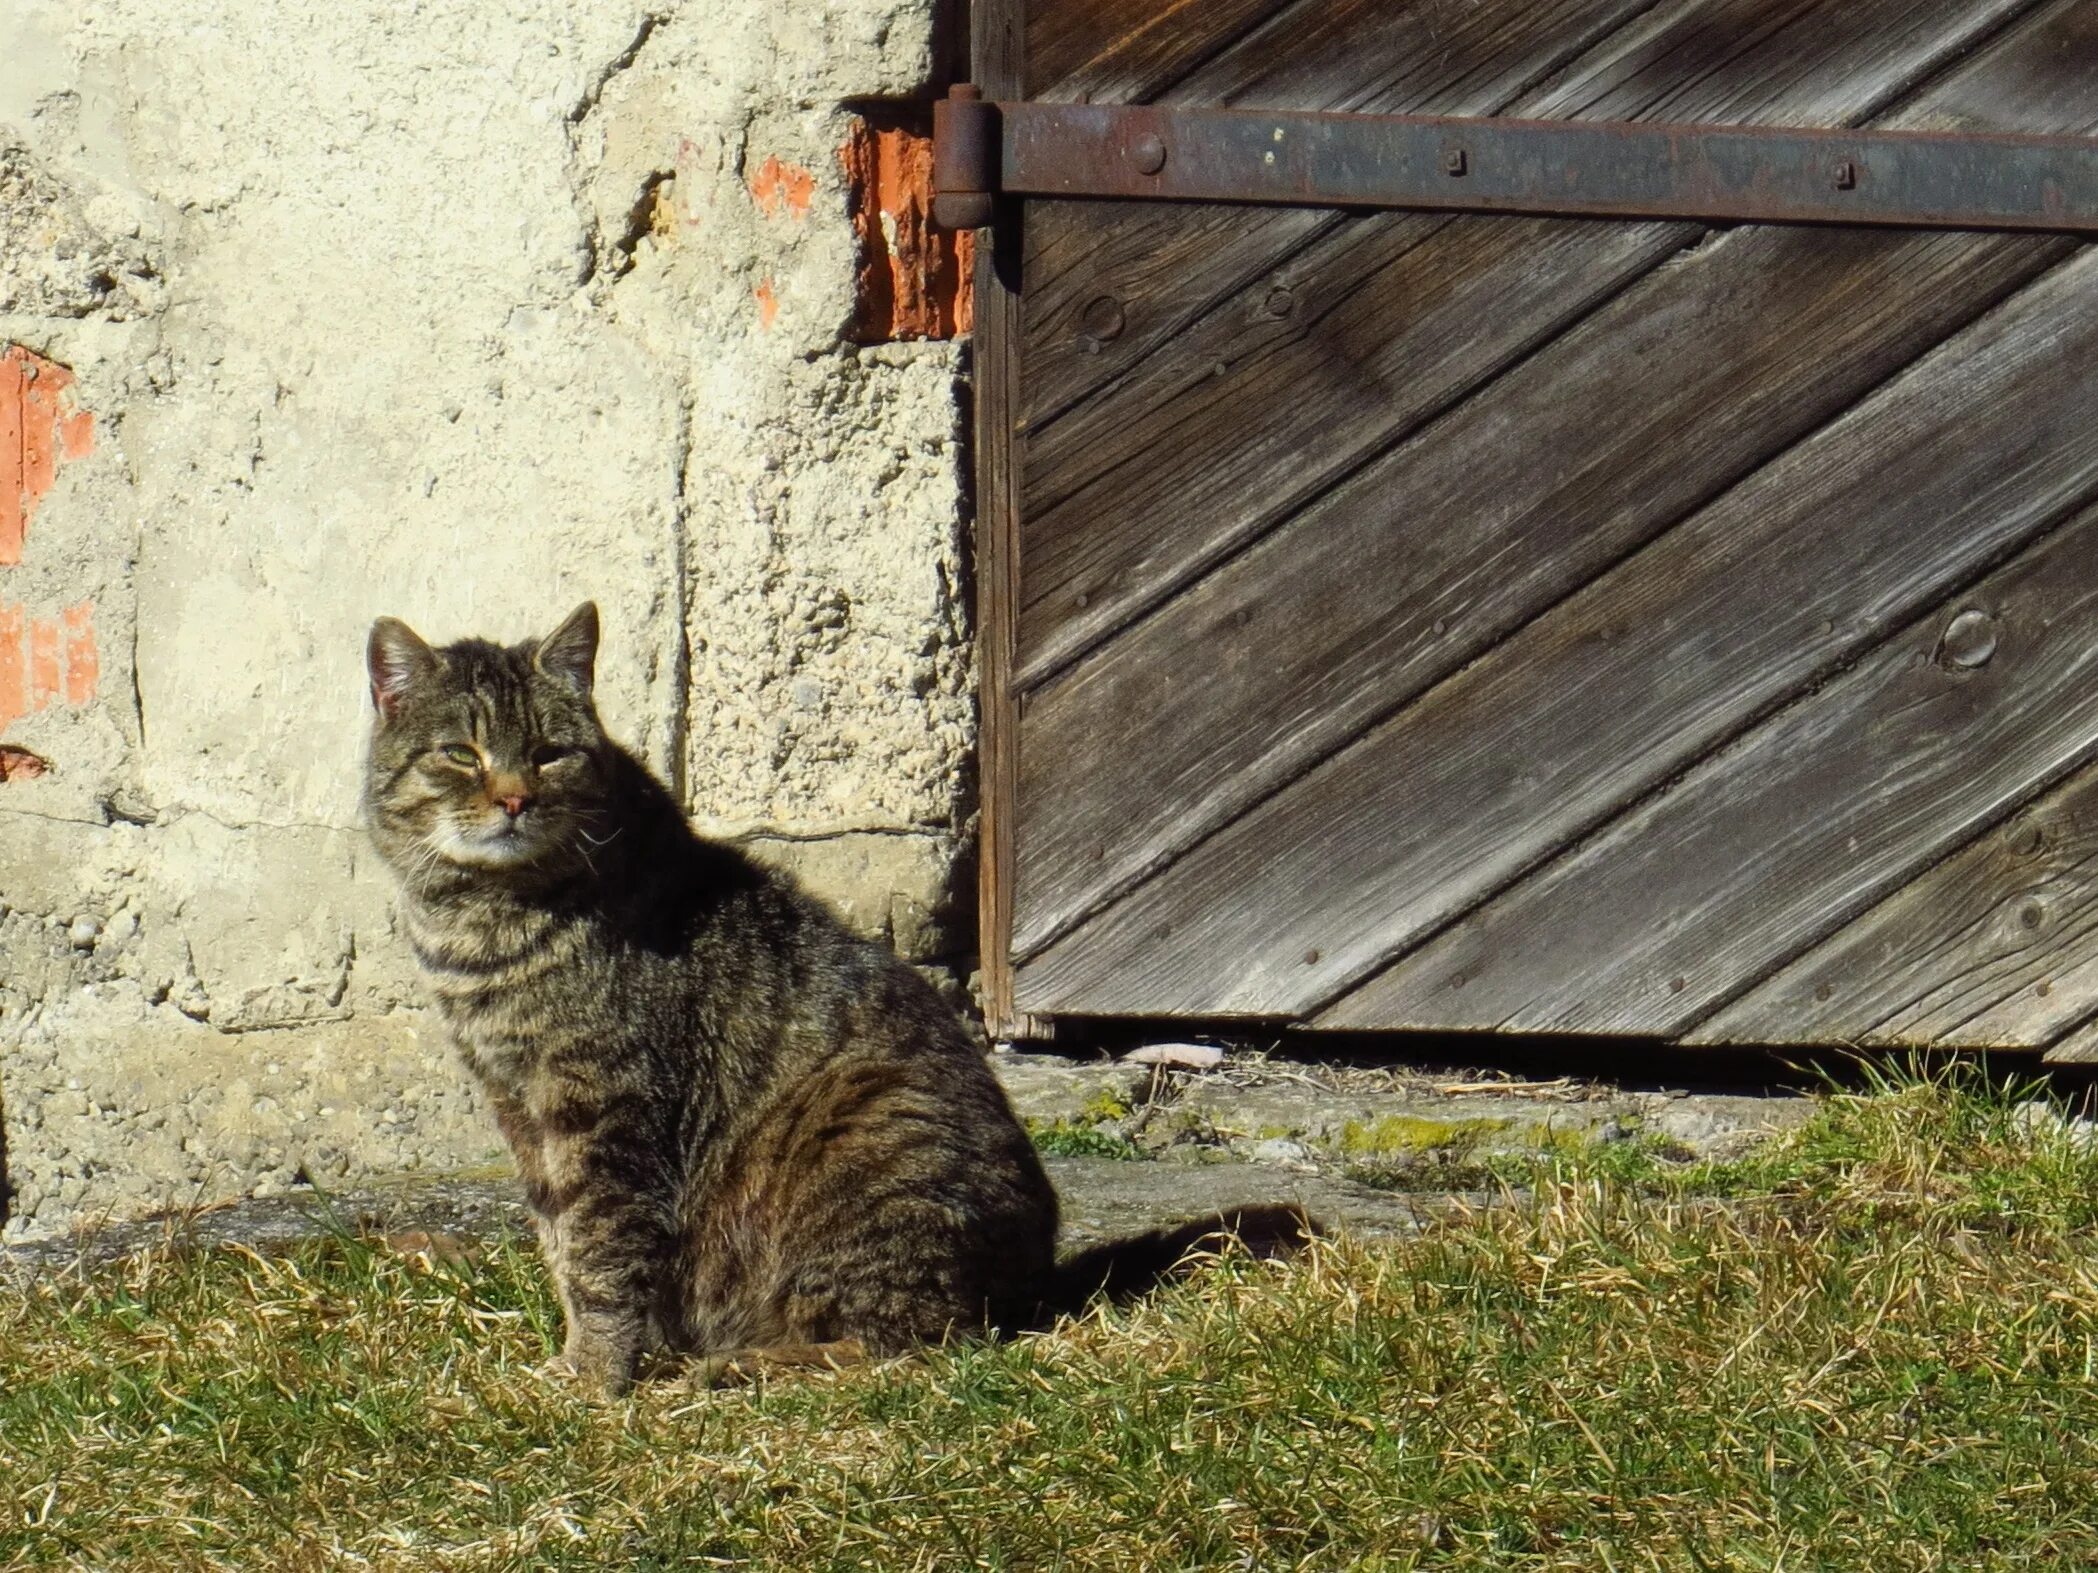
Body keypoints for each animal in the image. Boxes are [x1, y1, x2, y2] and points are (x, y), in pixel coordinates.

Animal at [360, 608, 1309, 1401]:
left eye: (550, 752)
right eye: (461, 752)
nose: (514, 797)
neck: (481, 928)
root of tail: (1036, 1275)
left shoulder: (605, 1109)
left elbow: (598, 1253)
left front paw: (595, 1377)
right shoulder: (521, 1110)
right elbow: (560, 1244)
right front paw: (572, 1357)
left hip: (862, 1144)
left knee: (916, 1342)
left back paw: (739, 1363)